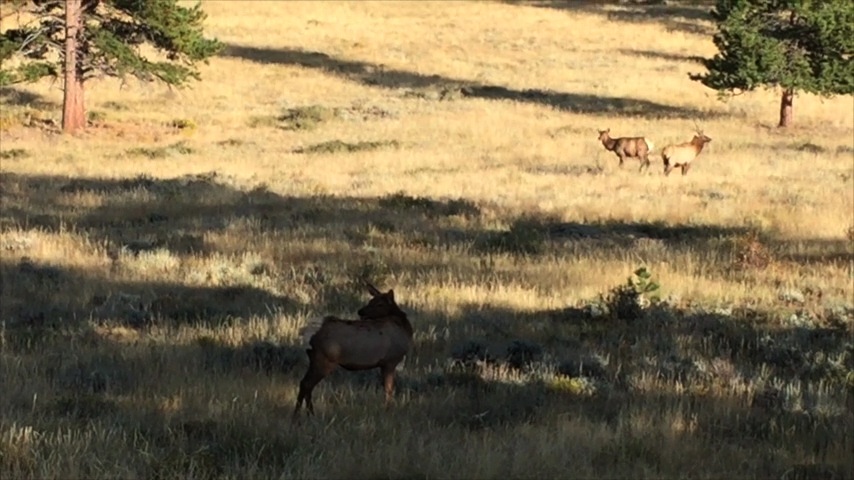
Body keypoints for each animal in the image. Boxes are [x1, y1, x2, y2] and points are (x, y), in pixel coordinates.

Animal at [292, 280, 414, 423]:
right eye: (371, 301)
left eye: (379, 303)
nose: (361, 312)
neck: (404, 328)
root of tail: (311, 334)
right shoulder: (390, 361)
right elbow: (389, 390)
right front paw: (388, 411)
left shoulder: (386, 363)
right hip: (324, 360)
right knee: (306, 384)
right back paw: (298, 415)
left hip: (314, 358)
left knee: (305, 384)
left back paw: (309, 414)